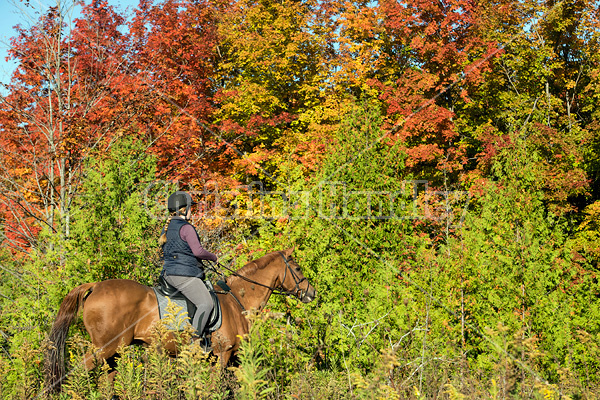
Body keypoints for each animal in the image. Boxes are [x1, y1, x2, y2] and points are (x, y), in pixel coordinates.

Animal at [44, 248, 316, 392]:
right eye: (298, 269)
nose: (311, 293)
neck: (237, 301)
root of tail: (96, 286)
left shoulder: (234, 357)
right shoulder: (223, 354)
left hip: (115, 352)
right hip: (105, 347)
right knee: (78, 372)